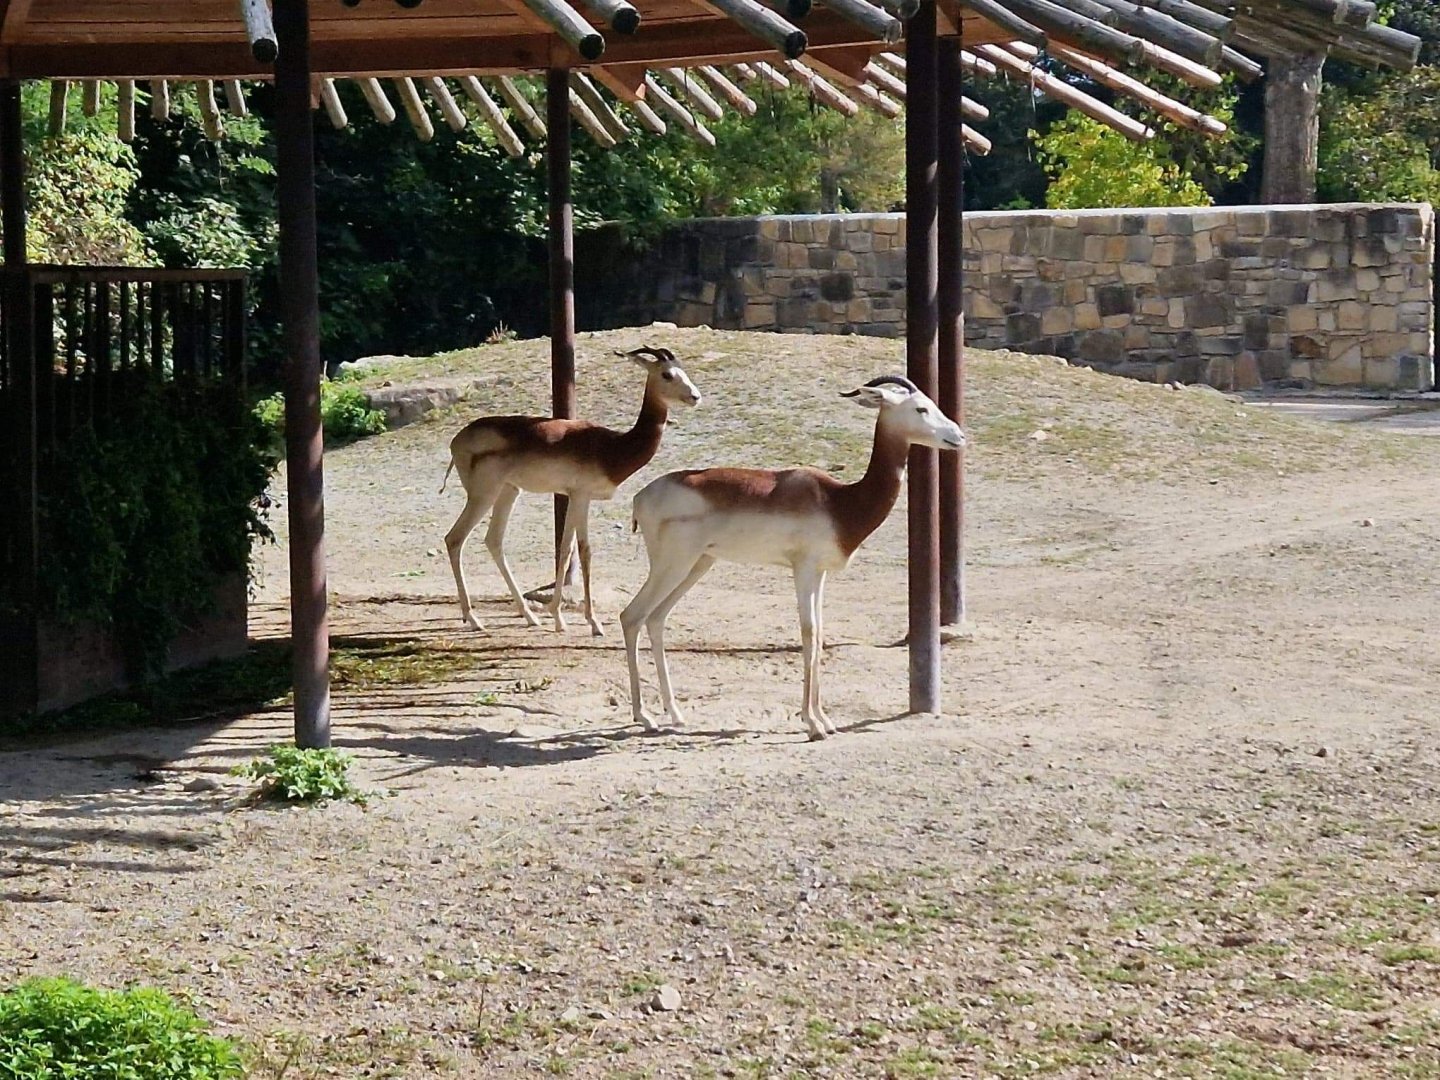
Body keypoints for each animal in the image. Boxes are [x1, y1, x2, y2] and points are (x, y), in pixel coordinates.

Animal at [441, 346, 702, 635]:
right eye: (667, 374)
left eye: (683, 370)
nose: (695, 397)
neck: (611, 448)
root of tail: (457, 439)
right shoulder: (581, 496)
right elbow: (584, 551)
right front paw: (594, 623)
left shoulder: (571, 496)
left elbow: (565, 551)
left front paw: (557, 617)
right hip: (483, 494)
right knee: (455, 539)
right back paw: (473, 618)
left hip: (509, 492)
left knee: (493, 541)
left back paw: (529, 616)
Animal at [620, 375, 964, 741]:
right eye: (921, 408)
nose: (958, 436)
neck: (838, 502)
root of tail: (641, 496)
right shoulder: (803, 569)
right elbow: (809, 632)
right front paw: (813, 723)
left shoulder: (820, 573)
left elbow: (821, 632)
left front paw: (824, 719)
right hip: (673, 565)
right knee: (632, 616)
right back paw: (644, 717)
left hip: (697, 565)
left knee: (656, 619)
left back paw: (674, 714)